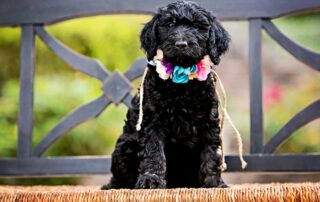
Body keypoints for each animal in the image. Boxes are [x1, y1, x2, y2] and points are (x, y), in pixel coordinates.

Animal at [101, 0, 229, 189]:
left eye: (197, 26)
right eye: (169, 24)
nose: (181, 44)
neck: (182, 82)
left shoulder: (208, 121)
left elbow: (211, 153)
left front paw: (213, 183)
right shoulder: (153, 122)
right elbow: (154, 152)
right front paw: (151, 180)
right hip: (125, 145)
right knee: (120, 177)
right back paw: (115, 186)